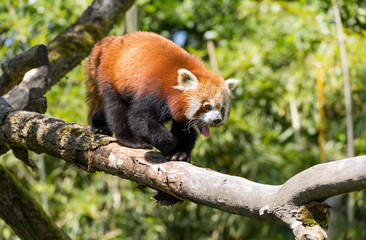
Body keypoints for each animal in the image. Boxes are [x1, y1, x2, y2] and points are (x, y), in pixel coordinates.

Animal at [87, 31, 239, 162]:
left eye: (222, 109)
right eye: (207, 106)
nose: (217, 120)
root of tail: (113, 40)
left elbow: (185, 131)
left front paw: (179, 153)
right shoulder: (153, 92)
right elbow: (139, 117)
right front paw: (169, 143)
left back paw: (98, 125)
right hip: (113, 78)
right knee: (116, 108)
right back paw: (129, 139)